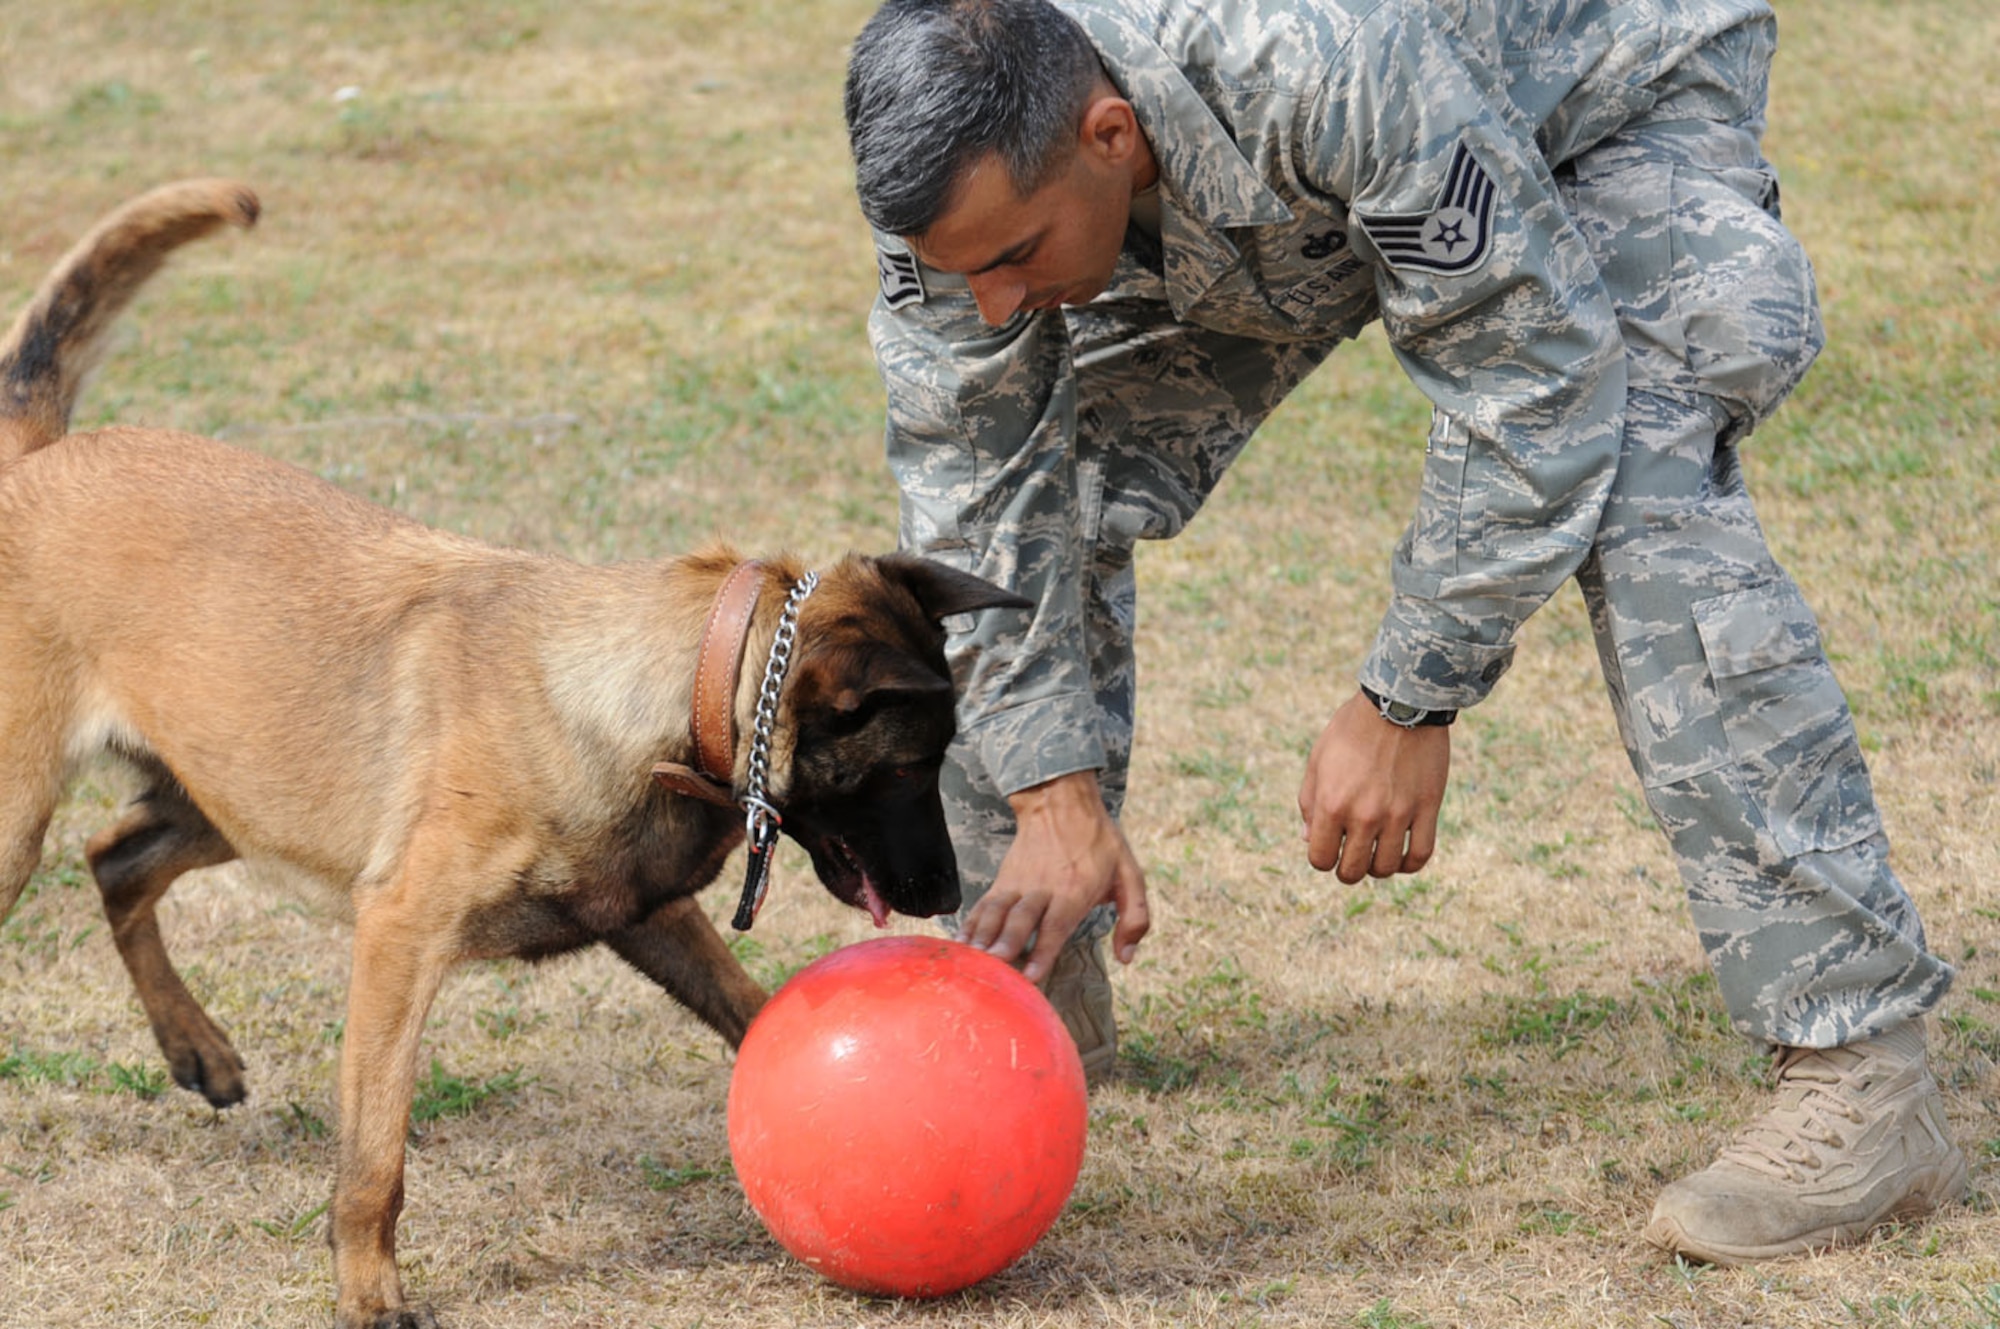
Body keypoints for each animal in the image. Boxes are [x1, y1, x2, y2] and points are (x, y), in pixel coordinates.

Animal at [0, 179, 1024, 1329]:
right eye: (909, 769)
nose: (949, 891)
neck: (665, 686)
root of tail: (37, 457)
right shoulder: (398, 936)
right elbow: (375, 1159)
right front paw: (369, 1289)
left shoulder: (643, 910)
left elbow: (751, 1011)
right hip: (34, 820)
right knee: (102, 859)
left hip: (232, 794)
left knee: (115, 858)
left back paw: (196, 1049)